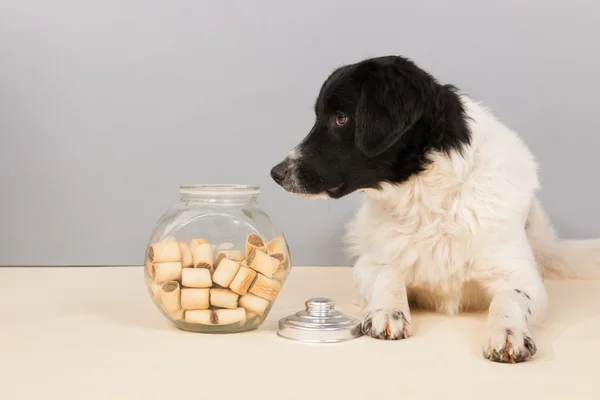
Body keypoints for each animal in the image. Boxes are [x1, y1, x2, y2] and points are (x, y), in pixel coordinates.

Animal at [270, 54, 600, 364]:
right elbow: (389, 273)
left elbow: (510, 299)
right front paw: (389, 311)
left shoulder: (523, 279)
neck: (430, 199)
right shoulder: (369, 264)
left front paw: (508, 333)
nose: (276, 173)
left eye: (340, 118)